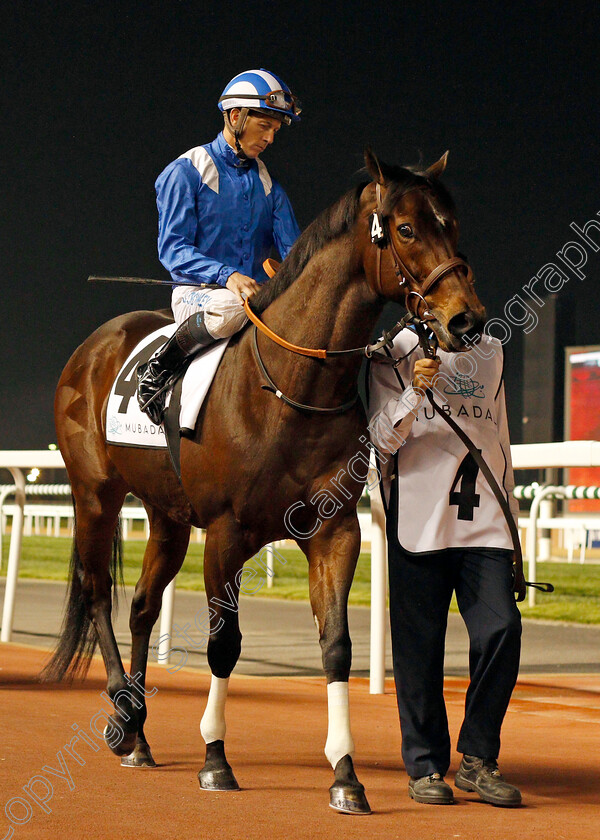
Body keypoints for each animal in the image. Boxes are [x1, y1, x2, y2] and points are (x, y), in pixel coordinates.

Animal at [44, 151, 486, 812]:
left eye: (452, 225)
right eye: (407, 229)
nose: (468, 318)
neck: (292, 388)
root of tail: (95, 345)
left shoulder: (334, 532)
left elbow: (337, 646)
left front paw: (346, 775)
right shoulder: (227, 533)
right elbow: (223, 644)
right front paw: (215, 760)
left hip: (168, 517)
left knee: (143, 606)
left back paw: (140, 733)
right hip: (95, 495)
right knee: (99, 594)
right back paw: (123, 722)